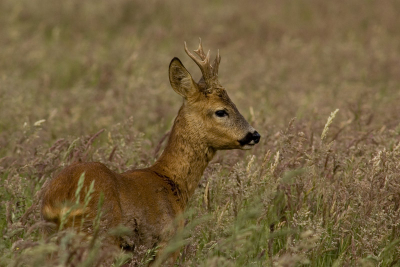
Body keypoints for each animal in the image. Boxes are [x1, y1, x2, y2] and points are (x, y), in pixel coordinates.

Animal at [39, 39, 260, 266]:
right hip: (101, 237)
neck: (171, 181)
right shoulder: (167, 243)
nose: (254, 135)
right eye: (221, 111)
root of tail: (60, 198)